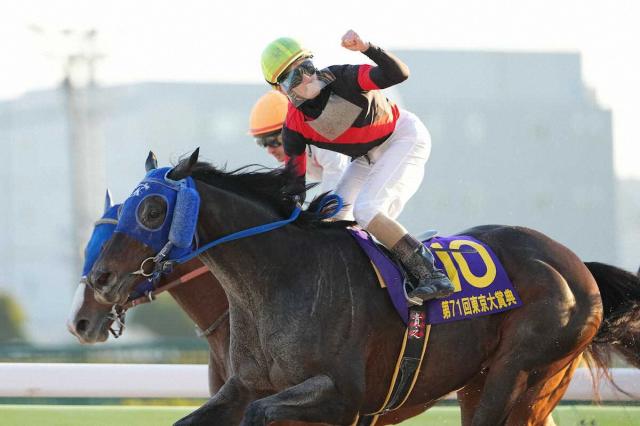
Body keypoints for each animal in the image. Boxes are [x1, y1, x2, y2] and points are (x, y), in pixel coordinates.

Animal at [88, 149, 640, 426]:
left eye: (152, 209)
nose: (100, 280)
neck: (278, 281)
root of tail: (574, 264)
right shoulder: (243, 386)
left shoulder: (345, 398)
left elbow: (264, 415)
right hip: (486, 381)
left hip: (525, 369)